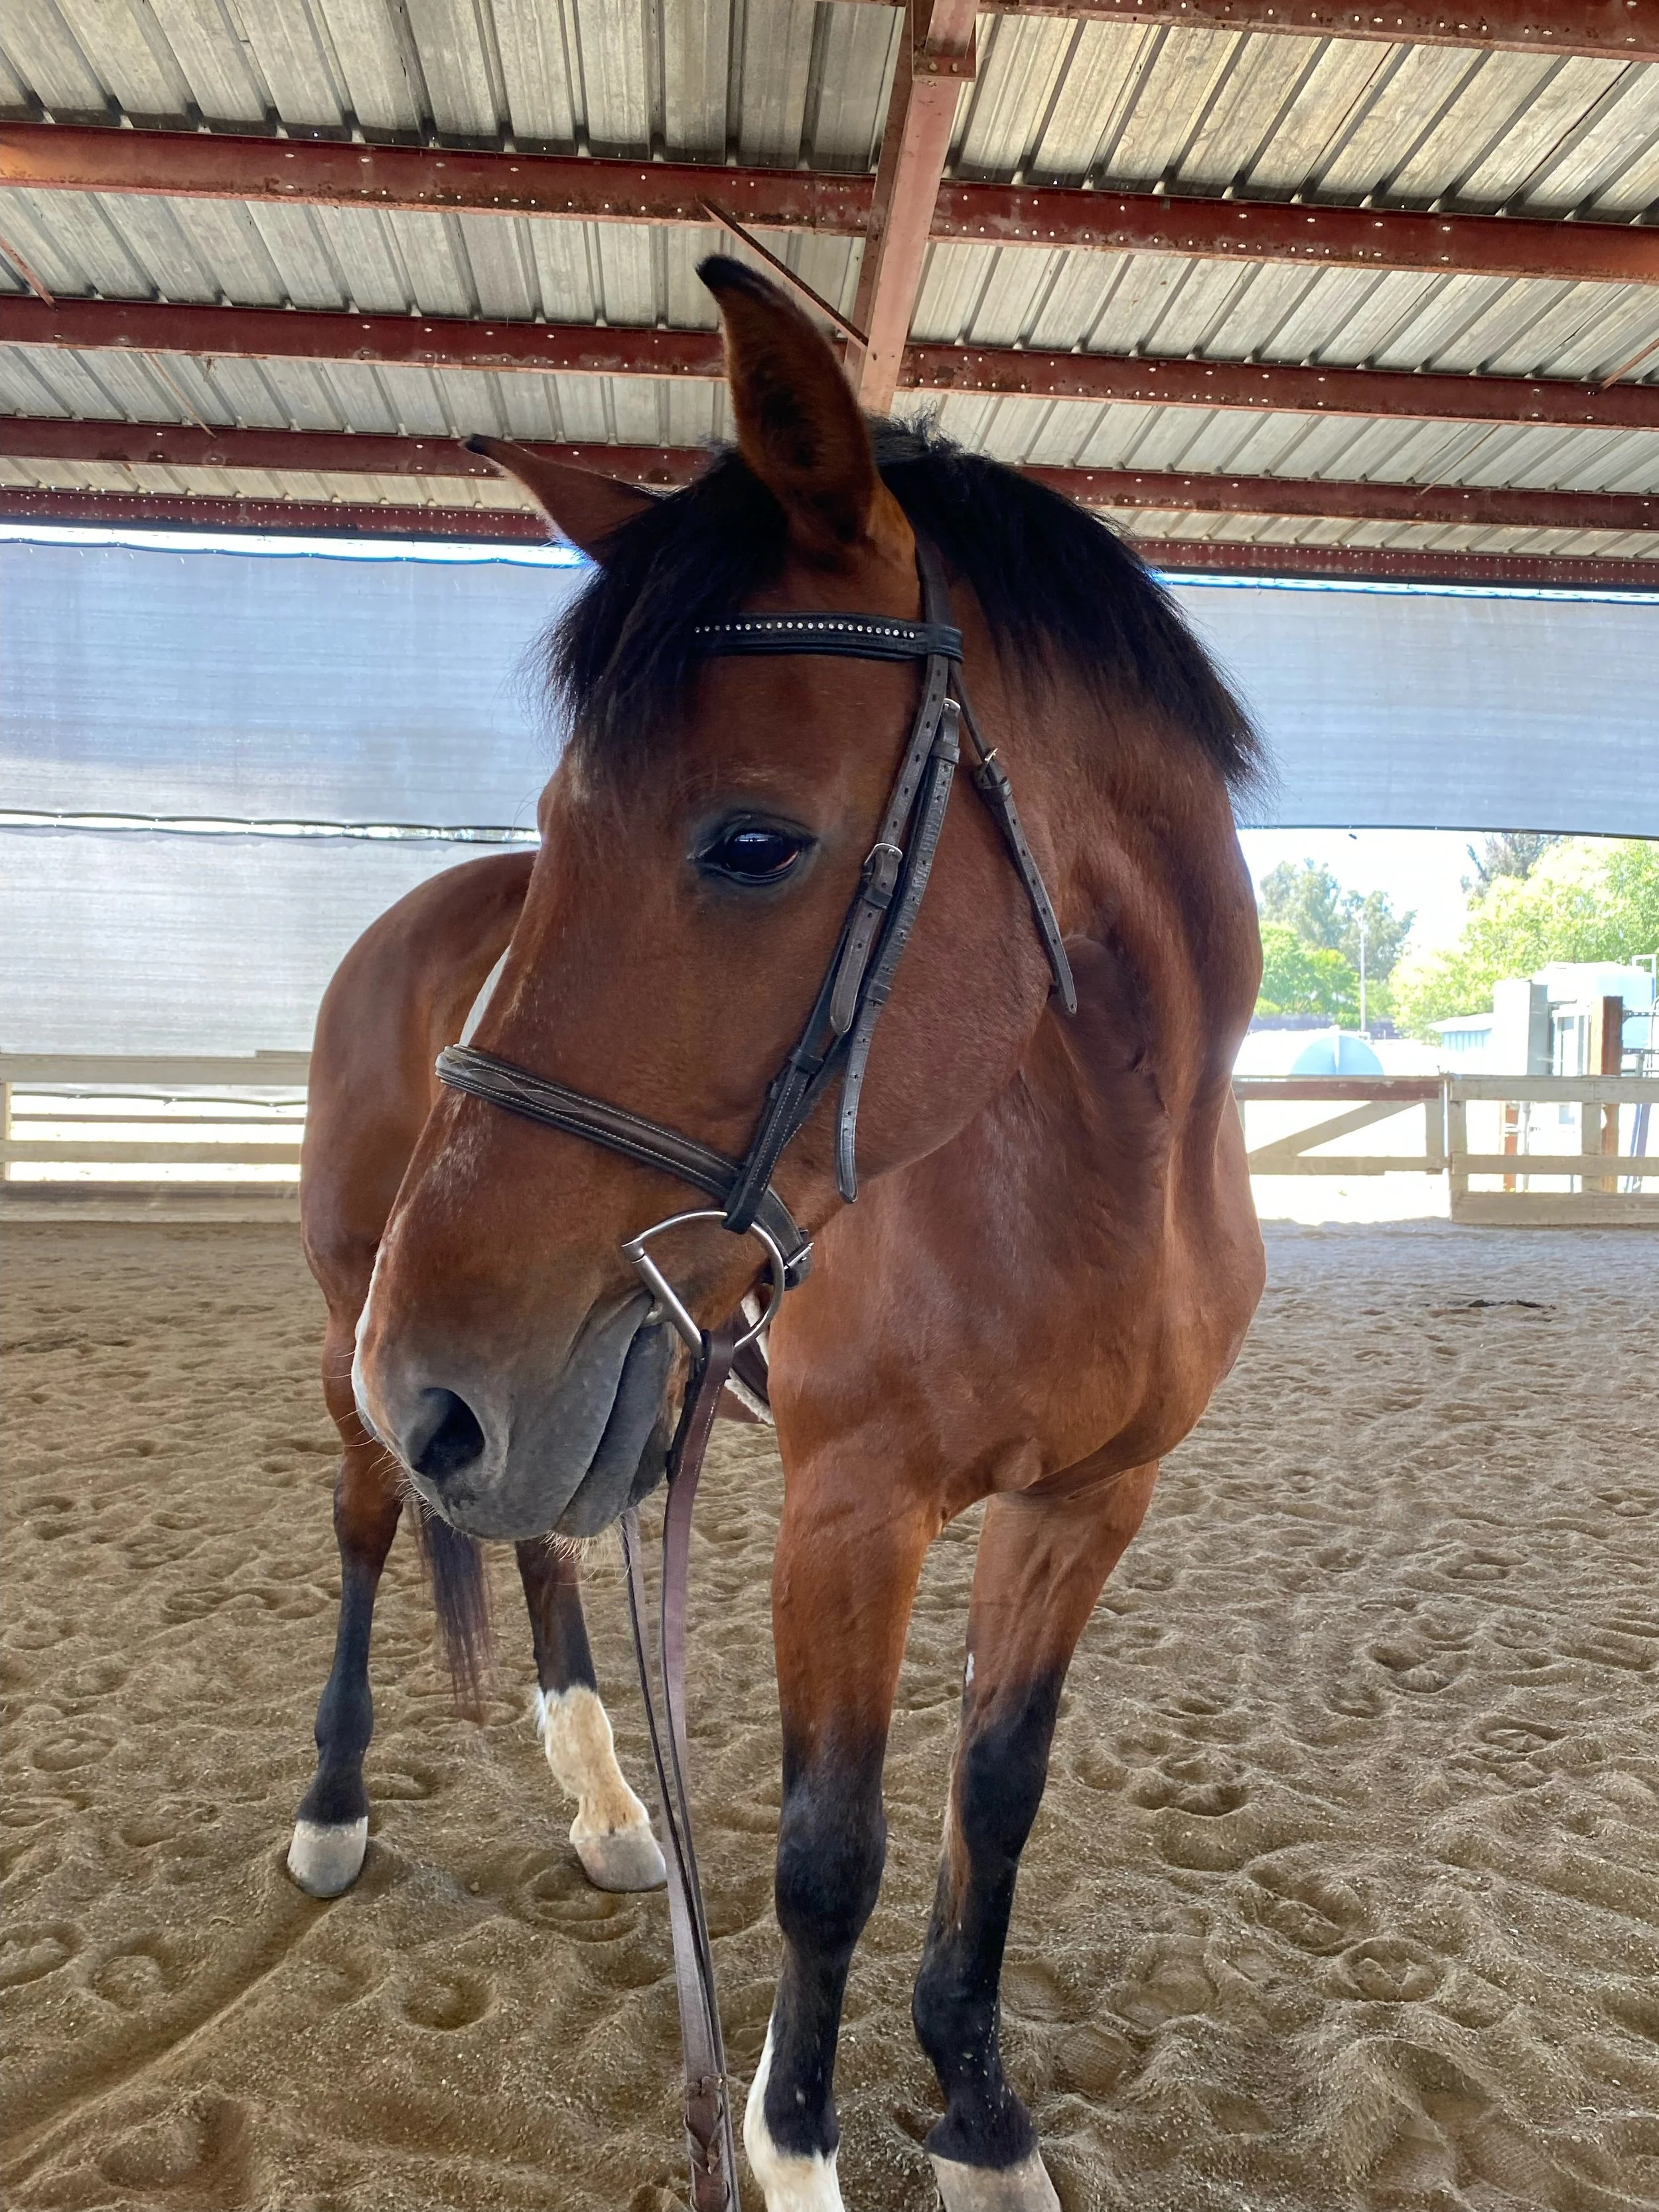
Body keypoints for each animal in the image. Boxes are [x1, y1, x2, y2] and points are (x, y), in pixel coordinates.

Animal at [334, 255, 1267, 2212]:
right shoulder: (851, 1509)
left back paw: (613, 1810)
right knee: (369, 1529)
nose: (427, 1377)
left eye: (754, 841)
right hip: (375, 1353)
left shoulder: (1091, 1502)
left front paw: (979, 2116)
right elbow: (828, 1847)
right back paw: (332, 1806)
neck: (1085, 1181)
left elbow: (997, 1790)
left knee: (537, 1552)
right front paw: (794, 2137)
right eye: (554, 829)